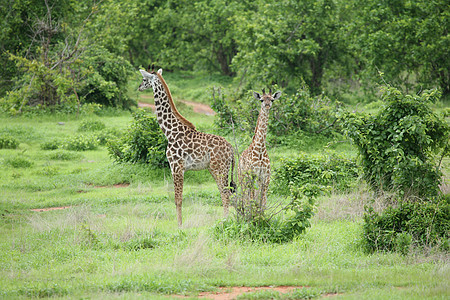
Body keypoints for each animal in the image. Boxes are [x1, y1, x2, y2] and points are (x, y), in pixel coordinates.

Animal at [137, 68, 236, 226]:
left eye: (144, 79)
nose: (139, 87)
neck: (169, 132)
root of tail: (232, 150)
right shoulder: (178, 168)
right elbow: (178, 198)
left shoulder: (176, 166)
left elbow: (178, 199)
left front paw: (179, 225)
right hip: (217, 169)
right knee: (225, 193)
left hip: (219, 169)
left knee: (226, 194)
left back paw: (224, 222)